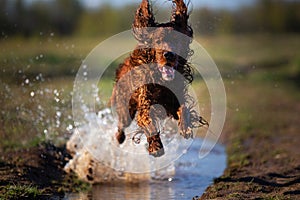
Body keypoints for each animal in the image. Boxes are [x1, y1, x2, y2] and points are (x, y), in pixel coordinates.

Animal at [110, 0, 206, 156]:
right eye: (158, 40)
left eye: (176, 40)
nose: (169, 55)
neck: (161, 81)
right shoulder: (145, 103)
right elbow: (148, 122)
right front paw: (155, 146)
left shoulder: (174, 100)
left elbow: (184, 108)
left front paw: (185, 127)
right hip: (126, 107)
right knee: (121, 125)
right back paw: (119, 138)